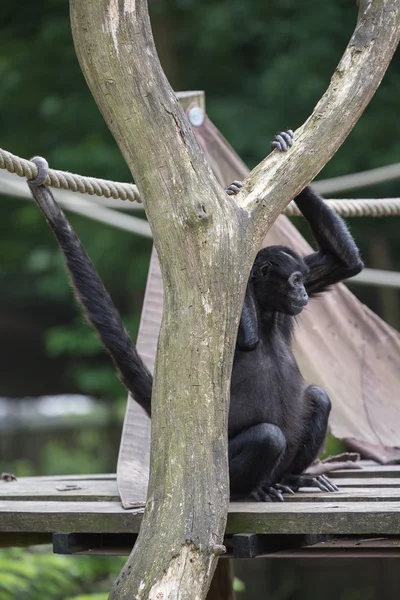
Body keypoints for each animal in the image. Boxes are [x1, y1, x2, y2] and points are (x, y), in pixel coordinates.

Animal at [28, 130, 362, 502]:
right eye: (294, 281)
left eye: (304, 280)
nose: (303, 293)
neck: (266, 313)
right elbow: (244, 335)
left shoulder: (288, 307)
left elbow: (345, 264)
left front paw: (287, 152)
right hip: (221, 461)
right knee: (268, 436)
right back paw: (256, 488)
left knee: (318, 398)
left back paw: (293, 478)